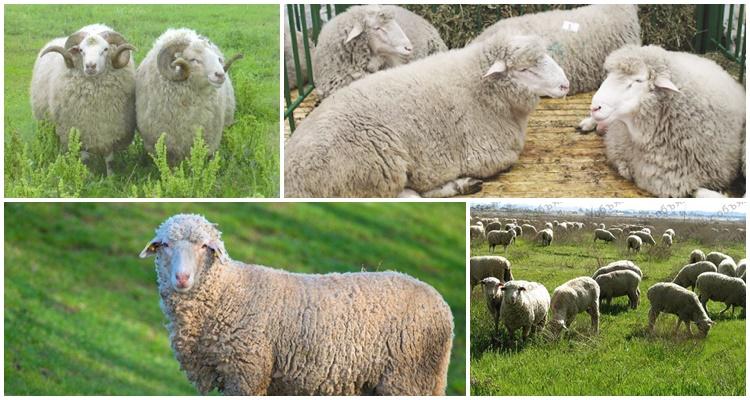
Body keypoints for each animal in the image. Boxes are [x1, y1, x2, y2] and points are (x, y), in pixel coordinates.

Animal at [30, 24, 136, 176]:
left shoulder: (109, 129)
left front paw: (111, 177)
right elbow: (85, 159)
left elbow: (109, 159)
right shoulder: (79, 130)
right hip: (47, 124)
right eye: (81, 50)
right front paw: (88, 176)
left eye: (105, 49)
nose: (90, 66)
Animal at [139, 214, 453, 395]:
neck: (226, 293)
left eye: (205, 247)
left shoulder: (248, 375)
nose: (182, 277)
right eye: (165, 245)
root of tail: (440, 302)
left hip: (412, 378)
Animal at [284, 33, 570, 198]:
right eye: (524, 69)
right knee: (411, 195)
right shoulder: (488, 156)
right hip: (376, 172)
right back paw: (461, 185)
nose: (565, 85)